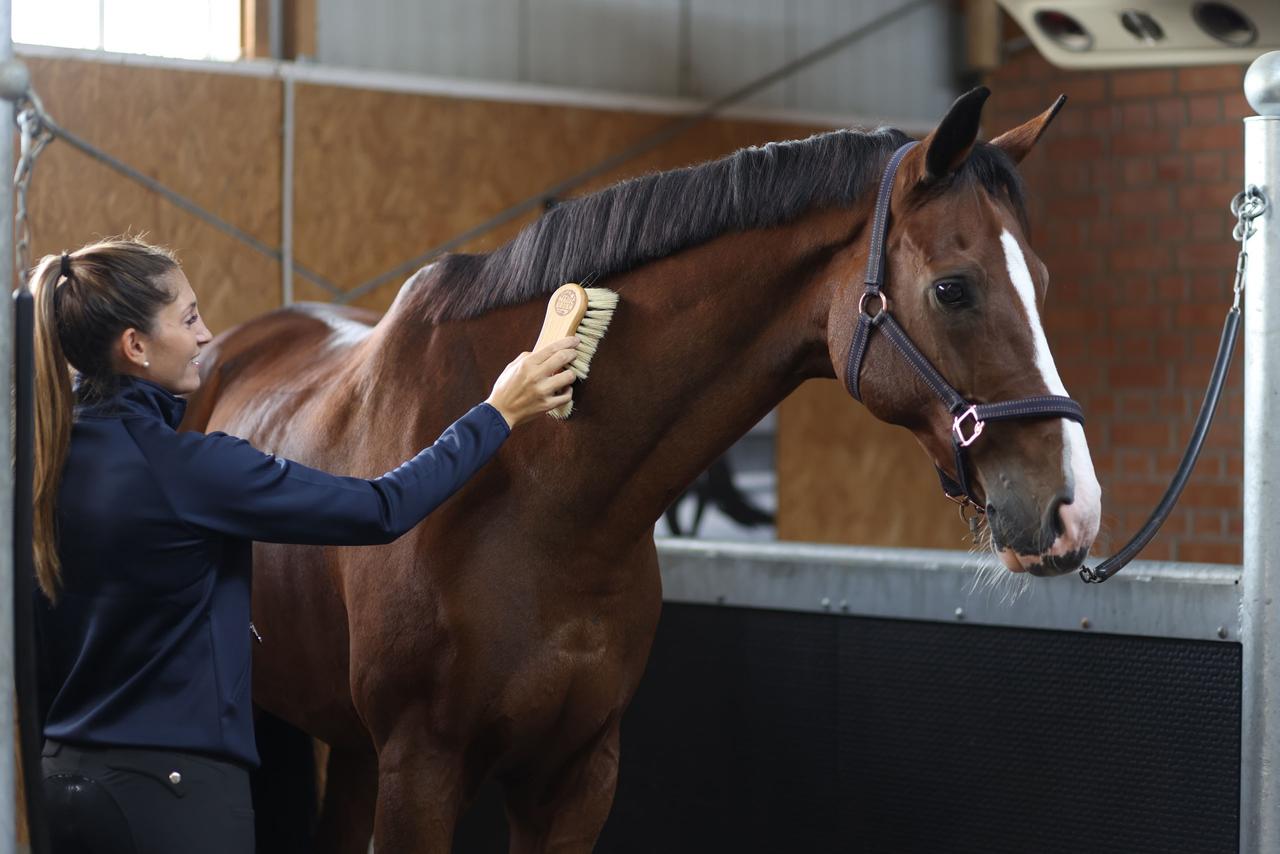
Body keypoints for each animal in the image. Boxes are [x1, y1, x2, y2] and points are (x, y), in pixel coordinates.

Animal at [182, 86, 1101, 852]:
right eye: (953, 288)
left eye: (1046, 280)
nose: (1075, 509)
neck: (545, 498)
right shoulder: (421, 773)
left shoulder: (575, 777)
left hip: (352, 747)